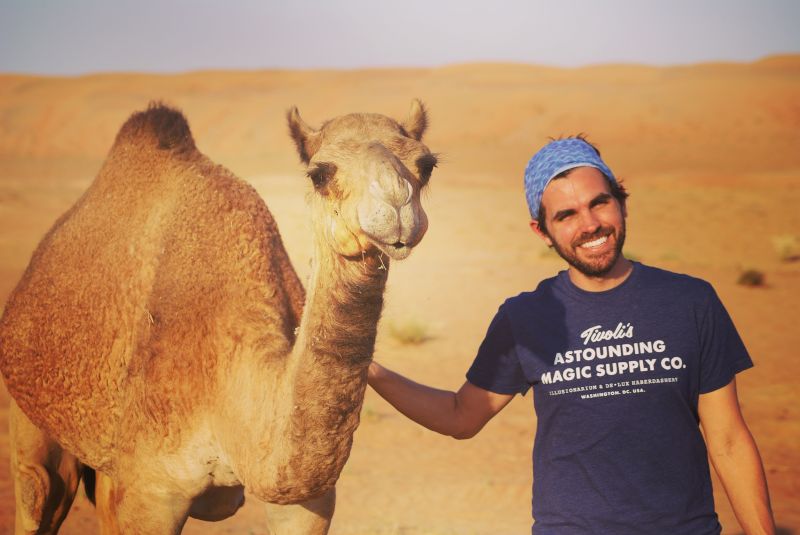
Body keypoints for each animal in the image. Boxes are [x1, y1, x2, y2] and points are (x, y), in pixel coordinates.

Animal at [0, 99, 438, 532]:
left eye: (426, 164)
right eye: (319, 174)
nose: (397, 207)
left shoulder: (303, 500)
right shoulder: (151, 491)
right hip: (31, 409)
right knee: (41, 490)